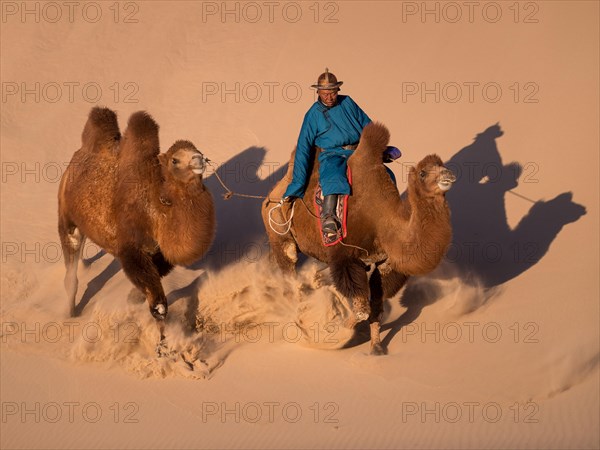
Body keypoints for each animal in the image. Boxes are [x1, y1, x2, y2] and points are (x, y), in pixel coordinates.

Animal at [58, 106, 216, 344]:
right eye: (175, 160)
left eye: (198, 150)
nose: (199, 159)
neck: (157, 206)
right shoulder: (131, 247)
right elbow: (159, 306)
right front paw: (162, 338)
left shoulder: (159, 251)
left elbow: (155, 275)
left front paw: (134, 298)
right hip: (66, 217)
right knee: (71, 265)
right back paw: (70, 312)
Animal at [262, 122, 454, 356]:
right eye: (424, 173)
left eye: (441, 165)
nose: (448, 174)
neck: (383, 221)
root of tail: (274, 192)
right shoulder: (346, 257)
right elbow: (362, 309)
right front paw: (337, 333)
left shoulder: (383, 263)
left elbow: (375, 307)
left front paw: (376, 347)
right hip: (278, 229)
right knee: (289, 268)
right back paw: (297, 315)